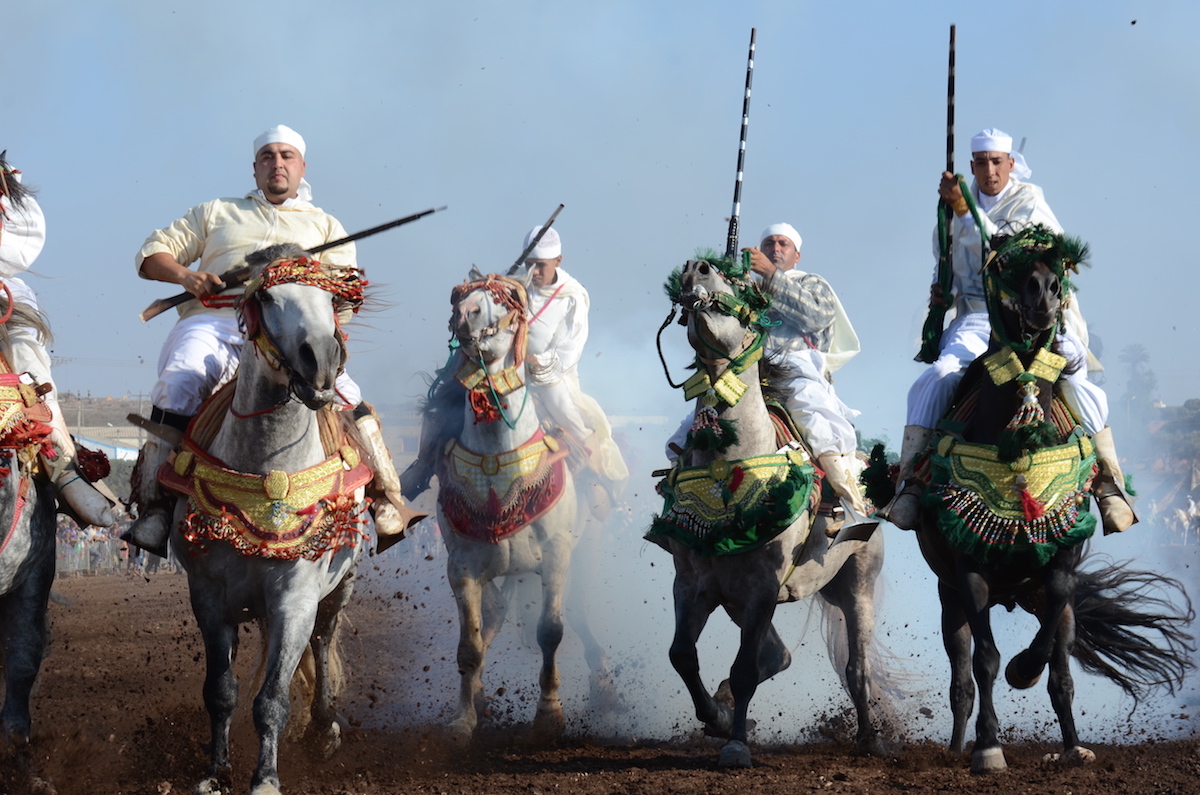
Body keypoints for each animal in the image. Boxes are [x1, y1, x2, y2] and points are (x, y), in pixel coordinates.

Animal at [159, 246, 372, 792]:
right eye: (269, 296)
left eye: (331, 298)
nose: (322, 361)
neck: (267, 469)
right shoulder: (208, 597)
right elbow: (221, 691)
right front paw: (216, 772)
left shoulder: (294, 602)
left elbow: (272, 698)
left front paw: (266, 778)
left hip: (341, 586)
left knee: (324, 641)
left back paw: (323, 727)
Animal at [427, 271, 604, 744]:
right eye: (462, 296)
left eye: (504, 300)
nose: (464, 314)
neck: (498, 463)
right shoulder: (462, 566)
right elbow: (469, 645)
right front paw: (463, 719)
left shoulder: (557, 557)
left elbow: (551, 632)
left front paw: (549, 713)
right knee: (494, 617)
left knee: (578, 616)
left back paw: (607, 689)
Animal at [652, 252, 888, 768]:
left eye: (739, 283)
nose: (696, 267)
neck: (730, 465)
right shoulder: (693, 583)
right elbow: (681, 655)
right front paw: (718, 718)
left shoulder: (762, 585)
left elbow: (743, 670)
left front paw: (736, 744)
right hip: (740, 600)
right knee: (778, 657)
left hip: (855, 582)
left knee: (855, 666)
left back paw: (870, 738)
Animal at [902, 226, 1195, 773]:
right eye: (1006, 264)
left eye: (1055, 264)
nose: (1044, 294)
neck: (1018, 440)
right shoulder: (968, 575)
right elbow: (986, 660)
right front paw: (989, 746)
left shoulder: (1061, 565)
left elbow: (1053, 654)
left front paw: (1028, 671)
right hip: (948, 597)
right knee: (962, 678)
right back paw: (958, 745)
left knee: (1058, 666)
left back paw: (1072, 744)